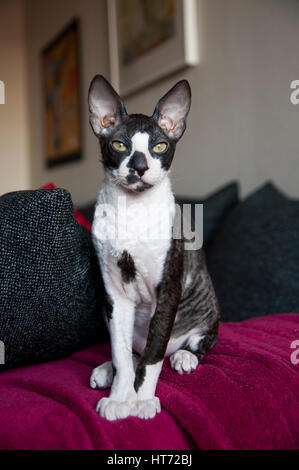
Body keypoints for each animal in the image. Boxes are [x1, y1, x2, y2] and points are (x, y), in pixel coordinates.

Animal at [88, 75, 219, 420]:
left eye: (159, 146)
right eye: (119, 145)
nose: (140, 166)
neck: (132, 211)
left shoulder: (168, 290)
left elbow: (153, 355)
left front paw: (143, 400)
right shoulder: (116, 294)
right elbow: (122, 354)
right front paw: (121, 399)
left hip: (205, 306)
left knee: (190, 344)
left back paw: (184, 357)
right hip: (107, 309)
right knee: (130, 351)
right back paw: (106, 370)